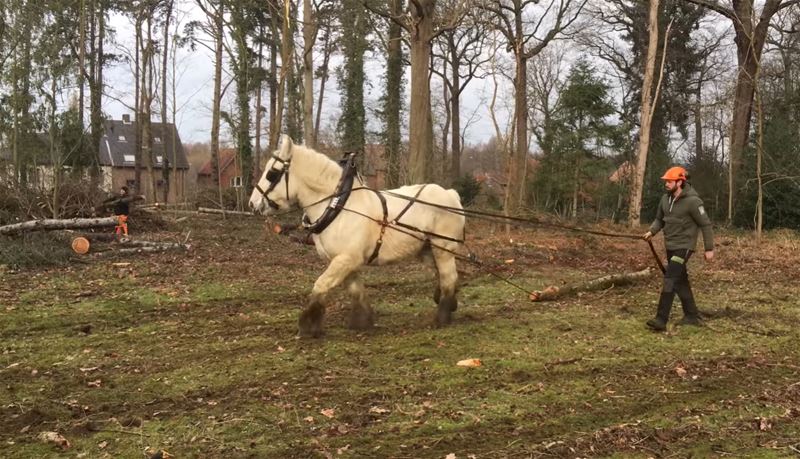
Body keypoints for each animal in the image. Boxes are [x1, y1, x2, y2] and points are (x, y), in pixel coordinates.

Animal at [249, 135, 466, 338]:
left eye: (272, 174)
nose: (253, 203)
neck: (339, 206)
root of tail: (451, 194)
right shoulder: (345, 260)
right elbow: (355, 290)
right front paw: (362, 321)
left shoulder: (346, 259)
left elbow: (321, 285)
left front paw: (308, 326)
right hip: (427, 250)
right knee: (441, 275)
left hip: (443, 248)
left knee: (448, 276)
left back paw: (442, 316)